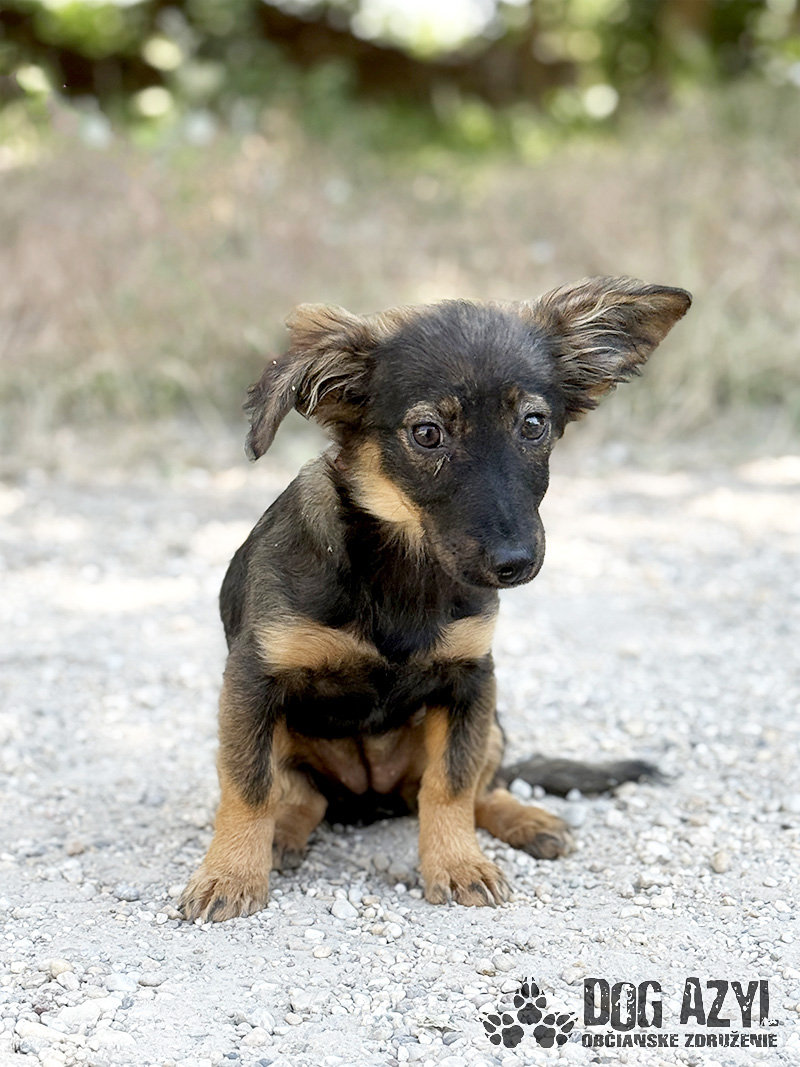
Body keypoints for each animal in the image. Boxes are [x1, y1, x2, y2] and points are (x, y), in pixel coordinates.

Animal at [180, 275, 691, 922]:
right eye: (428, 434)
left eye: (533, 424)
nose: (515, 563)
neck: (404, 564)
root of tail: (372, 799)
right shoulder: (254, 677)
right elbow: (249, 787)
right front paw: (229, 875)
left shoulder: (471, 679)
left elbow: (450, 785)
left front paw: (458, 864)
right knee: (301, 798)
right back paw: (282, 836)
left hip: (492, 721)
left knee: (480, 786)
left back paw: (524, 820)